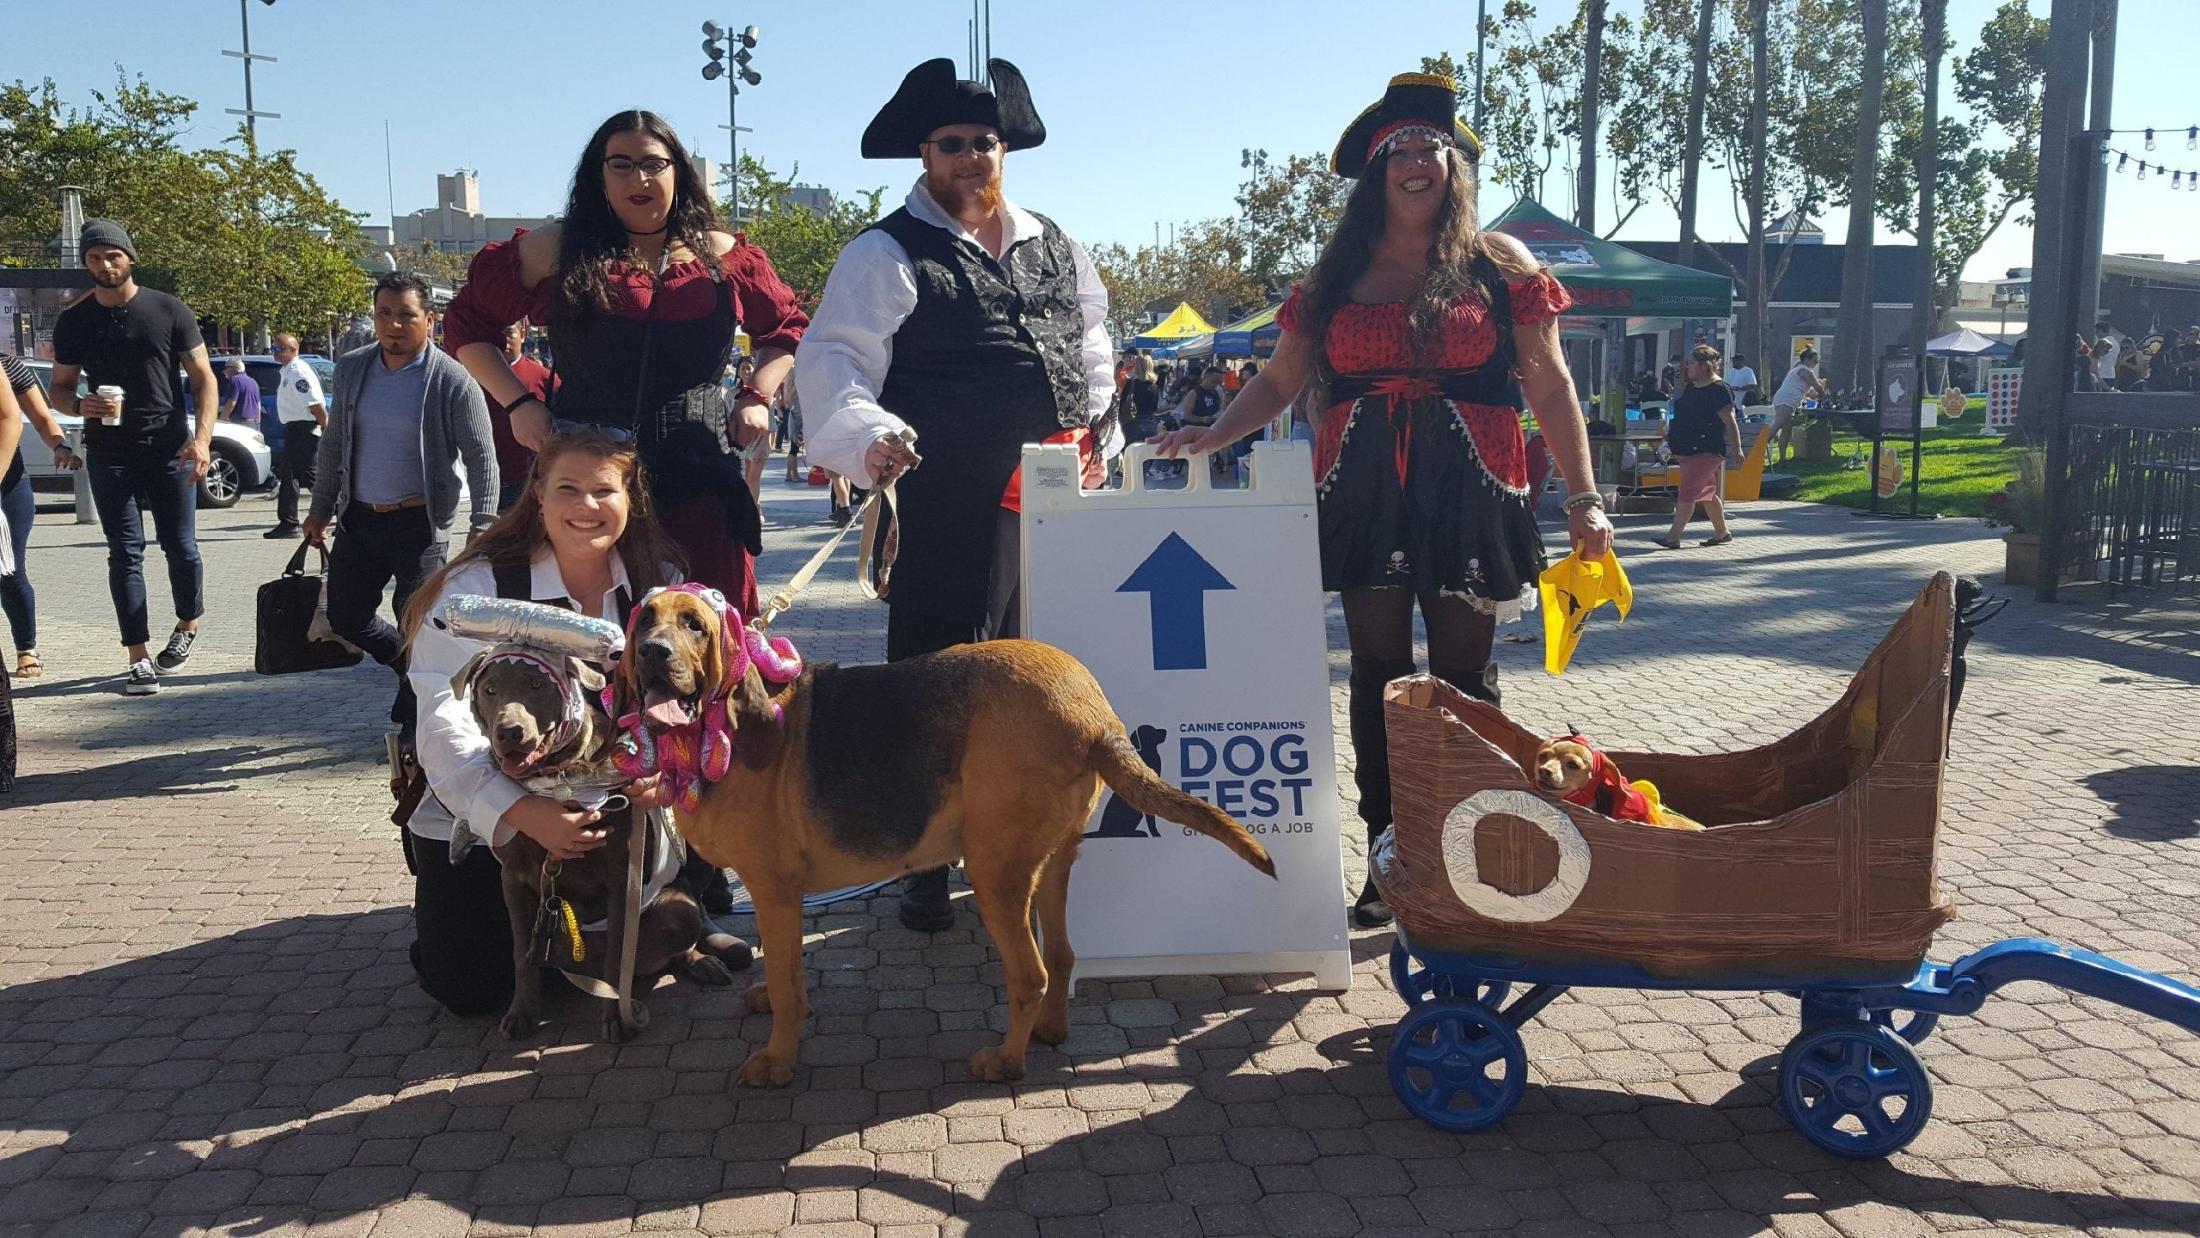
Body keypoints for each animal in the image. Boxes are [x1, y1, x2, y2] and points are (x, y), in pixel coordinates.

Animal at [620, 589, 1284, 1086]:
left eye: (695, 625)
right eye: (644, 620)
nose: (652, 652)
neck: (721, 719)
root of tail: (1094, 714)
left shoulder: (775, 893)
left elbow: (788, 986)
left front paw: (778, 1061)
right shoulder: (781, 902)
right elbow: (790, 977)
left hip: (995, 876)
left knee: (1030, 975)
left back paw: (1007, 1061)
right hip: (1050, 868)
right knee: (1062, 957)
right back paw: (1049, 1032)